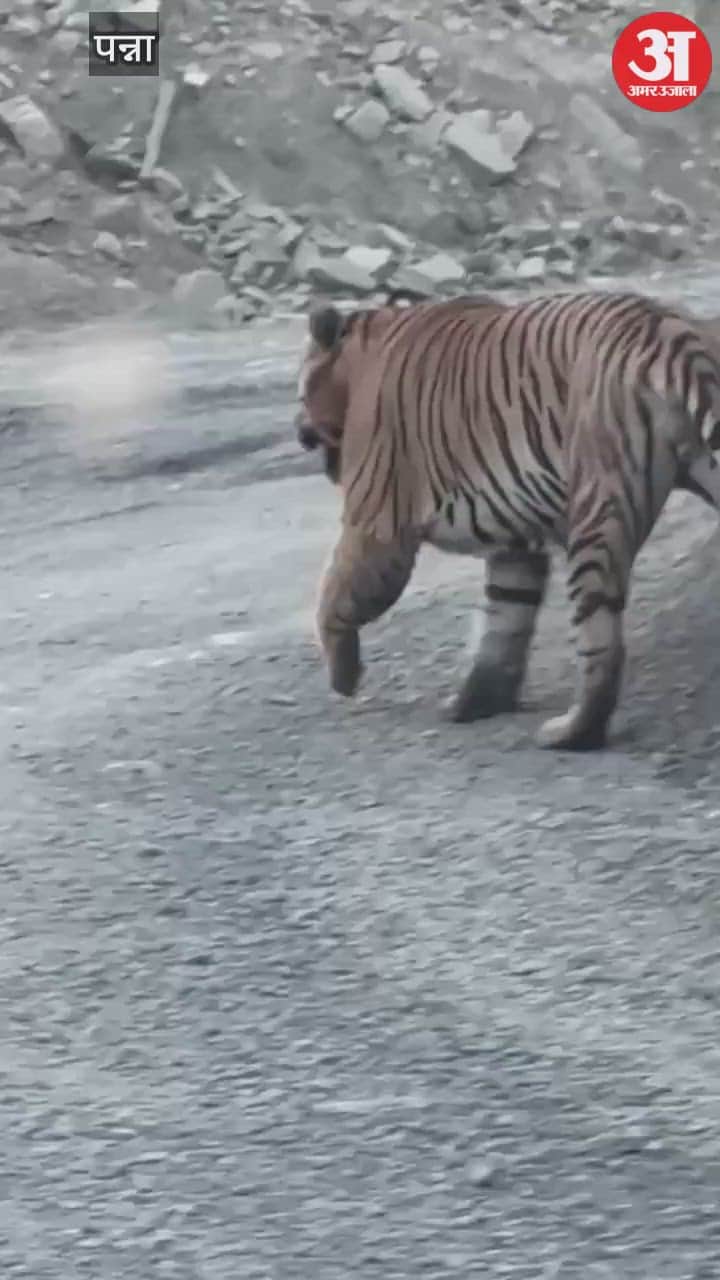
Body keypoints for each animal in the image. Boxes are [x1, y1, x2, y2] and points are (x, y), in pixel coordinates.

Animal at [294, 289, 720, 751]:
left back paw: (571, 732)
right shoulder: (515, 537)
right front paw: (476, 701)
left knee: (600, 640)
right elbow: (505, 618)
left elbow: (334, 593)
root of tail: (670, 333)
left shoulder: (377, 523)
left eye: (300, 394)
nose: (297, 430)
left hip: (595, 512)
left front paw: (343, 675)